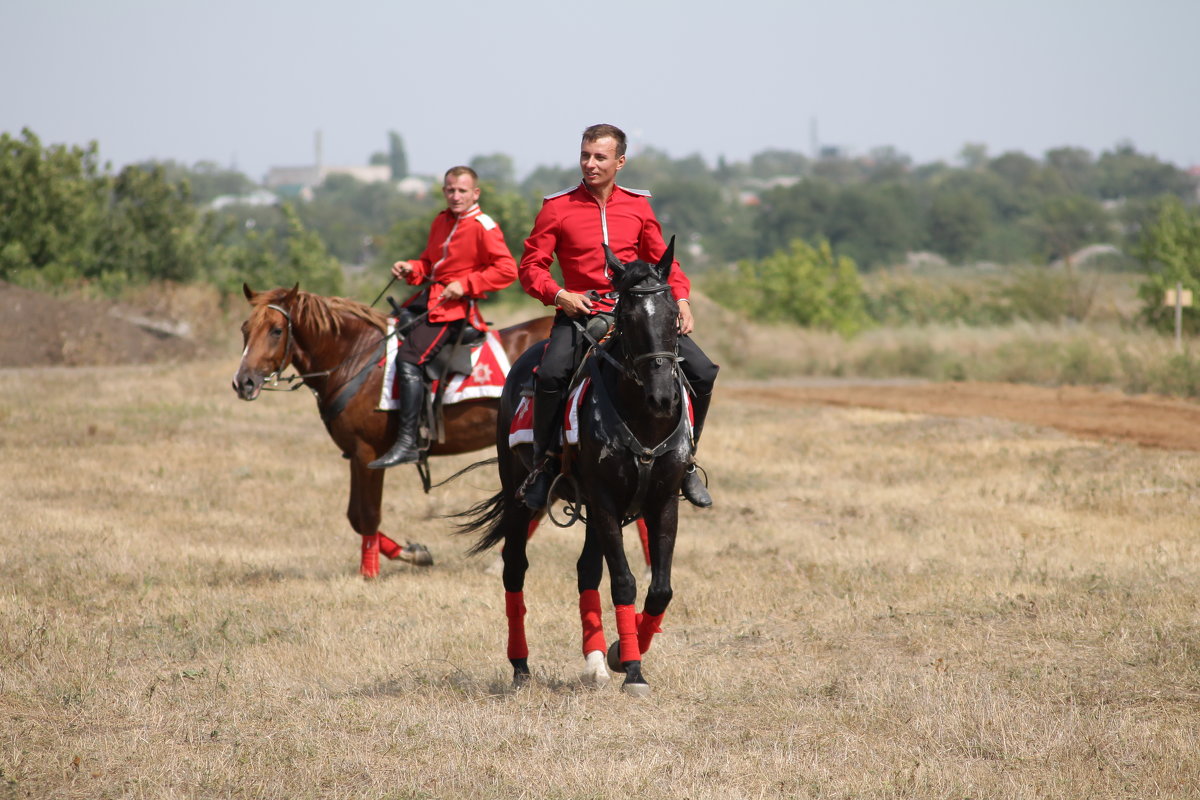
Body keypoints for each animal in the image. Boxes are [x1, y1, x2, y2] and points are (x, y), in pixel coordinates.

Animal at [232, 284, 552, 578]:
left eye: (276, 330)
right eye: (245, 329)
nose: (243, 382)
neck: (356, 359)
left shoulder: (368, 454)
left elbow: (367, 515)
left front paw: (370, 571)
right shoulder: (355, 454)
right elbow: (354, 516)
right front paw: (413, 553)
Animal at [453, 241, 691, 695]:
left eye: (673, 313)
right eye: (629, 317)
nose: (663, 398)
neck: (642, 419)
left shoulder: (663, 500)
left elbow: (661, 589)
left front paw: (619, 654)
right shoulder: (604, 501)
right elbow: (624, 582)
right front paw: (633, 669)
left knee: (586, 571)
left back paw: (595, 662)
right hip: (522, 500)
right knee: (515, 568)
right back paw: (521, 667)